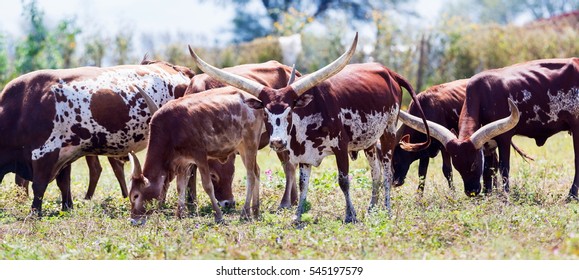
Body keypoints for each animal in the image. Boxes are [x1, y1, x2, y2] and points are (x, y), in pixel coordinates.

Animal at [0, 59, 195, 215]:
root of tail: (179, 70)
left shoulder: (45, 152)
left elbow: (39, 185)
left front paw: (34, 212)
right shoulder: (63, 154)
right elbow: (64, 184)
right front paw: (67, 208)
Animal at [188, 34, 432, 223]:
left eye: (289, 111)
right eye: (265, 113)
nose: (277, 142)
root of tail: (388, 72)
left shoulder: (340, 147)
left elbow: (343, 181)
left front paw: (350, 215)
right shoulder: (303, 153)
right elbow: (303, 183)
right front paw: (297, 216)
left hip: (388, 130)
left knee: (387, 170)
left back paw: (387, 209)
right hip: (369, 140)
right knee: (376, 172)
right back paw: (372, 208)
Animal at [398, 57, 579, 198]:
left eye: (473, 164)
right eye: (458, 167)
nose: (471, 192)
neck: (482, 95)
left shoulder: (505, 137)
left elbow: (503, 167)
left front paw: (505, 195)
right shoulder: (488, 144)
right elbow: (489, 169)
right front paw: (488, 193)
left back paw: (571, 195)